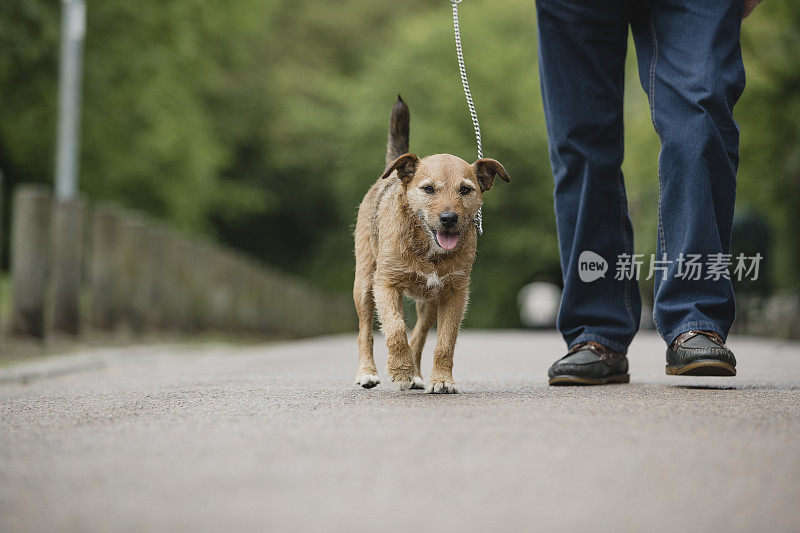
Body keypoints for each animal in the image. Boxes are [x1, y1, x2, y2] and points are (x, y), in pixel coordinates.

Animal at [354, 97, 510, 392]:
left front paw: (442, 379)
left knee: (419, 335)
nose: (448, 218)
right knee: (365, 330)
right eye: (428, 189)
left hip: (429, 303)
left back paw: (416, 375)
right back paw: (368, 372)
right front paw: (400, 369)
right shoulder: (385, 284)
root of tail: (391, 175)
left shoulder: (455, 293)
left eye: (465, 190)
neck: (428, 250)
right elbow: (395, 328)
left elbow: (445, 342)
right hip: (365, 284)